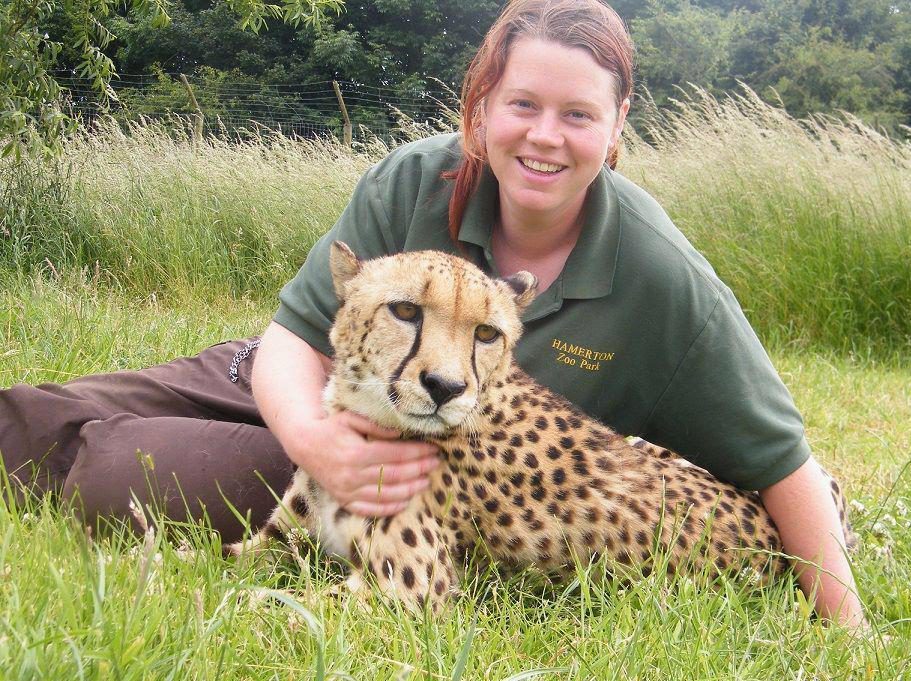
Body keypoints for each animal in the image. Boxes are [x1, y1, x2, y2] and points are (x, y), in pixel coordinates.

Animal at [228, 243, 856, 612]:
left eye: (486, 333)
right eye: (405, 311)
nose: (445, 388)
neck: (368, 417)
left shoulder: (406, 595)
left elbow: (266, 605)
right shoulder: (280, 541)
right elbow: (224, 560)